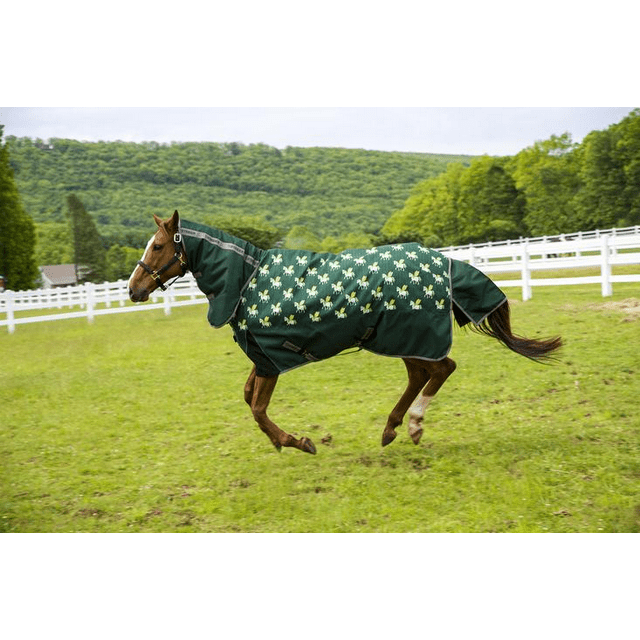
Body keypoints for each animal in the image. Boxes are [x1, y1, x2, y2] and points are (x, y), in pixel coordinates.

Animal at [128, 211, 562, 455]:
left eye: (159, 246)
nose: (133, 289)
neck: (249, 279)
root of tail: (445, 262)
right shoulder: (261, 355)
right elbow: (248, 398)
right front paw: (284, 441)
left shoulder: (270, 360)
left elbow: (257, 408)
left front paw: (297, 442)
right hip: (395, 337)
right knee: (422, 374)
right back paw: (391, 428)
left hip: (407, 334)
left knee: (441, 369)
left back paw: (413, 425)